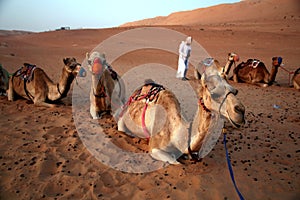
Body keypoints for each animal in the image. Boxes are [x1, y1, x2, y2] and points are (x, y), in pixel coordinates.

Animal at [116, 61, 244, 165]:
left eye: (235, 91)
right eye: (214, 94)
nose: (241, 111)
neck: (177, 131)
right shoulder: (155, 147)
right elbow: (175, 161)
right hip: (122, 120)